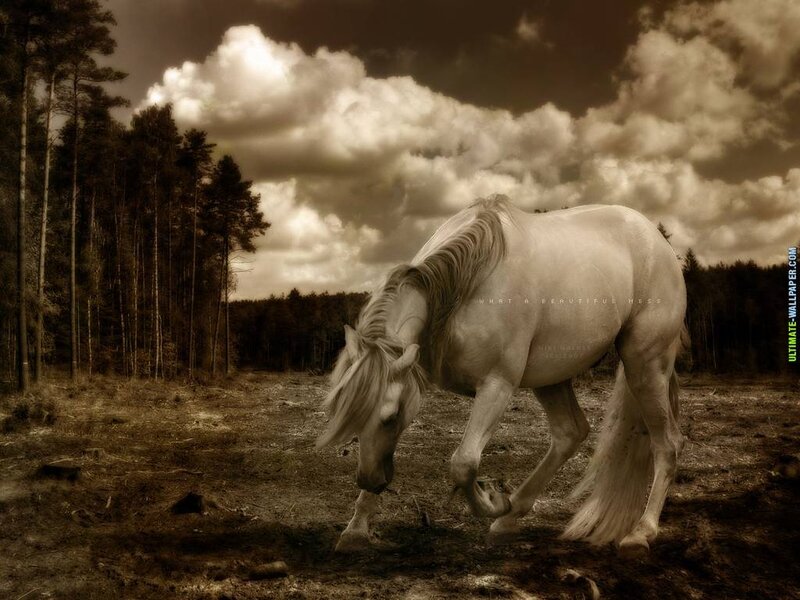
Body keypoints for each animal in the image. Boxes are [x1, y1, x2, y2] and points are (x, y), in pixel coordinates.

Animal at [317, 196, 687, 557]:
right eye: (350, 416)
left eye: (390, 417)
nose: (369, 480)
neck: (461, 287)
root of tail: (656, 241)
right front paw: (356, 530)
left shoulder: (497, 385)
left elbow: (464, 463)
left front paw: (491, 500)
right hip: (552, 378)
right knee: (570, 432)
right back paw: (510, 518)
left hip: (644, 366)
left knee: (667, 443)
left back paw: (641, 532)